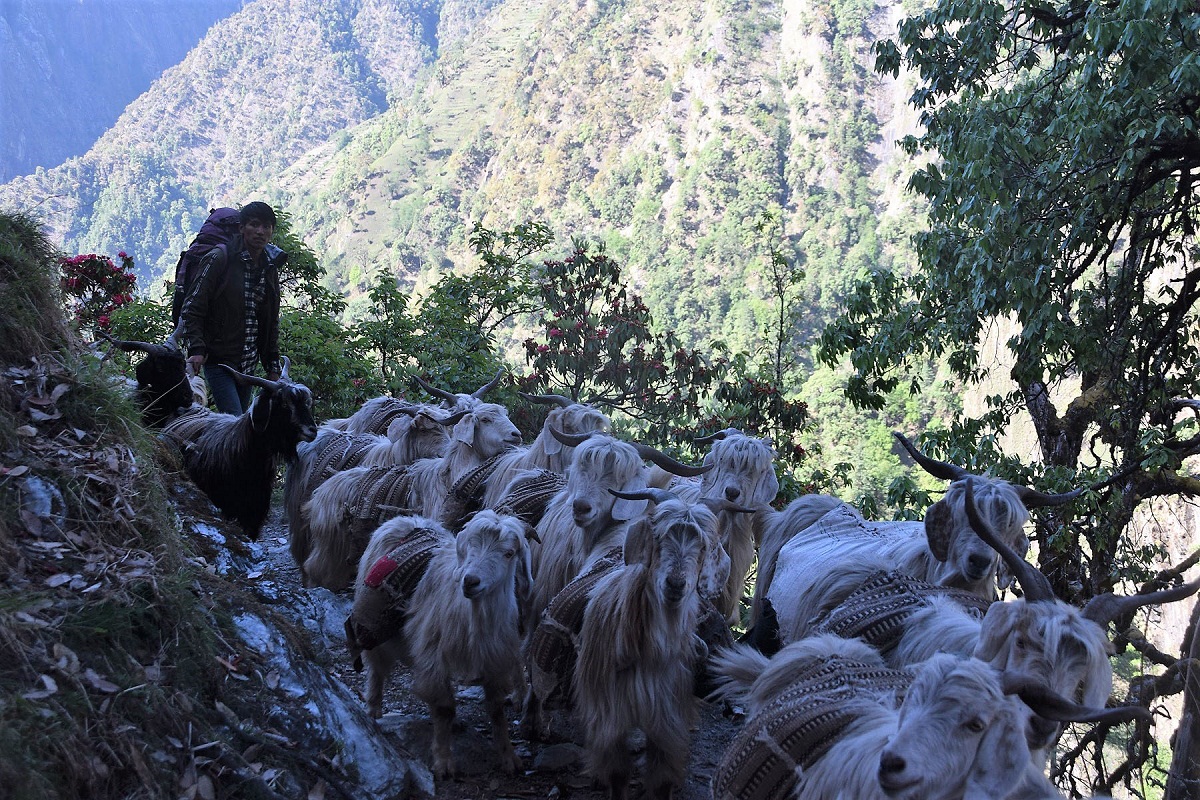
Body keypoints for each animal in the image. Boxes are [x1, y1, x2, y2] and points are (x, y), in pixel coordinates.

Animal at [348, 510, 535, 777]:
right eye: (469, 546)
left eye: (508, 553)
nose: (470, 581)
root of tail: (406, 519)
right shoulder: (433, 656)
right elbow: (443, 707)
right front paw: (444, 762)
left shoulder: (494, 660)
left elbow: (496, 710)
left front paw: (509, 757)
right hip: (375, 631)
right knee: (377, 669)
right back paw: (373, 710)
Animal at [571, 494, 710, 800]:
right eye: (658, 538)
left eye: (703, 546)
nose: (675, 584)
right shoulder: (610, 712)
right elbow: (617, 772)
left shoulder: (668, 716)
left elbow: (662, 777)